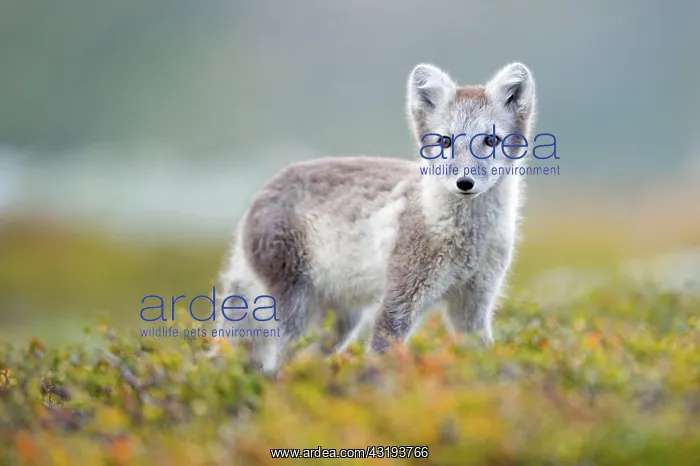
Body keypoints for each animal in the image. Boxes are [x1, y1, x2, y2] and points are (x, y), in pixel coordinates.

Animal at [214, 62, 536, 375]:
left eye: (491, 139)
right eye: (445, 141)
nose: (464, 183)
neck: (466, 240)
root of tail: (257, 196)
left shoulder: (475, 301)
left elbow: (482, 351)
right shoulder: (400, 297)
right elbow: (382, 354)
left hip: (341, 320)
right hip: (293, 303)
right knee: (279, 360)